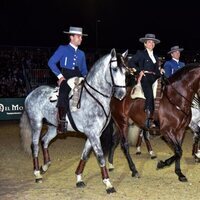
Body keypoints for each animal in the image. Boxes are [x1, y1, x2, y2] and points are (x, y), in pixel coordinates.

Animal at [19, 48, 128, 194]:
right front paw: (108, 184)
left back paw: (45, 166)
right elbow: (100, 156)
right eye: (115, 69)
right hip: (36, 123)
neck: (94, 98)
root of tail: (32, 93)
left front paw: (79, 179)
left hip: (54, 127)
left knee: (45, 141)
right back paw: (37, 174)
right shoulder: (93, 134)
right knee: (35, 145)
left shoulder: (94, 134)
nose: (121, 94)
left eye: (126, 71)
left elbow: (85, 155)